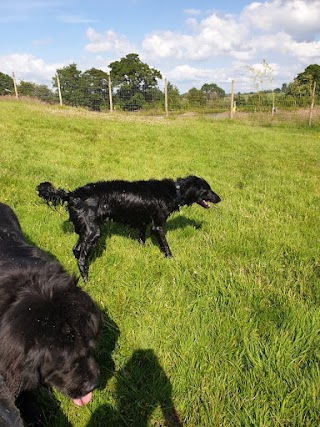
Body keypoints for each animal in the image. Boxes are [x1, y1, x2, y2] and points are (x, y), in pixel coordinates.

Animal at [35, 176, 220, 280]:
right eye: (207, 190)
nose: (220, 198)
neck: (176, 191)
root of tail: (72, 195)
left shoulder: (143, 223)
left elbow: (141, 238)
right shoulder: (157, 226)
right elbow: (166, 246)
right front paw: (171, 259)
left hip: (86, 229)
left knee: (76, 250)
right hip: (93, 231)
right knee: (80, 257)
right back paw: (86, 279)